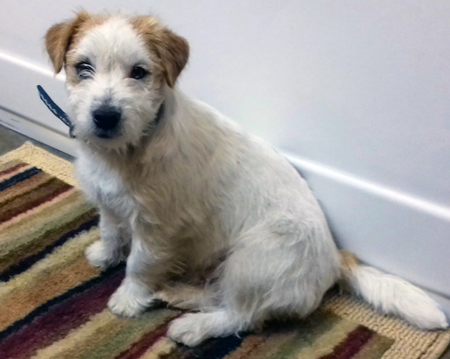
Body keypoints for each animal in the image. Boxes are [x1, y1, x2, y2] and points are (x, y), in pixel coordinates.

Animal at [44, 11, 446, 348]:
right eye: (83, 67)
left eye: (139, 72)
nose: (105, 116)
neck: (126, 150)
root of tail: (334, 258)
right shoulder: (110, 205)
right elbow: (112, 232)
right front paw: (104, 255)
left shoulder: (156, 228)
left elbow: (140, 264)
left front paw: (129, 298)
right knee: (221, 295)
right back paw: (182, 293)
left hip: (252, 260)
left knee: (242, 315)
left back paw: (193, 326)